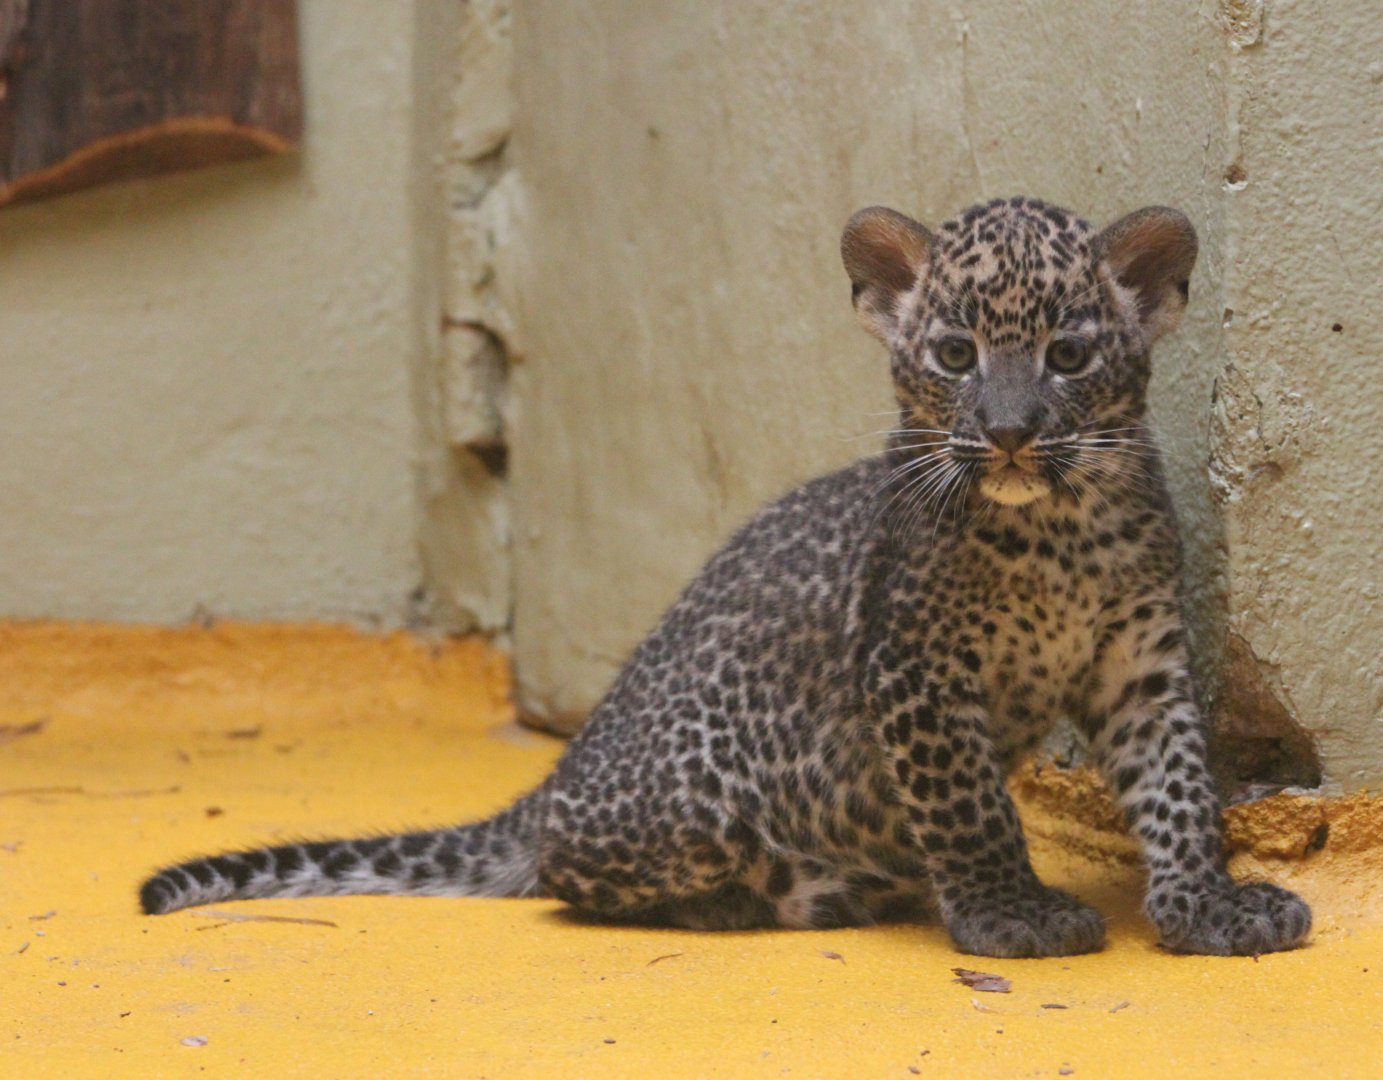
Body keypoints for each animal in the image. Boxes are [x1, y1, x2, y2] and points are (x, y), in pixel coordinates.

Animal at [140, 195, 1312, 958]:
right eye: (954, 355)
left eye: (1067, 357)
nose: (1011, 432)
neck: (1058, 530)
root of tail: (552, 780)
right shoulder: (917, 672)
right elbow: (970, 803)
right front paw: (1008, 914)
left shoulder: (1138, 660)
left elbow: (1177, 783)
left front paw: (1209, 905)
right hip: (697, 791)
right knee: (568, 877)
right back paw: (770, 901)